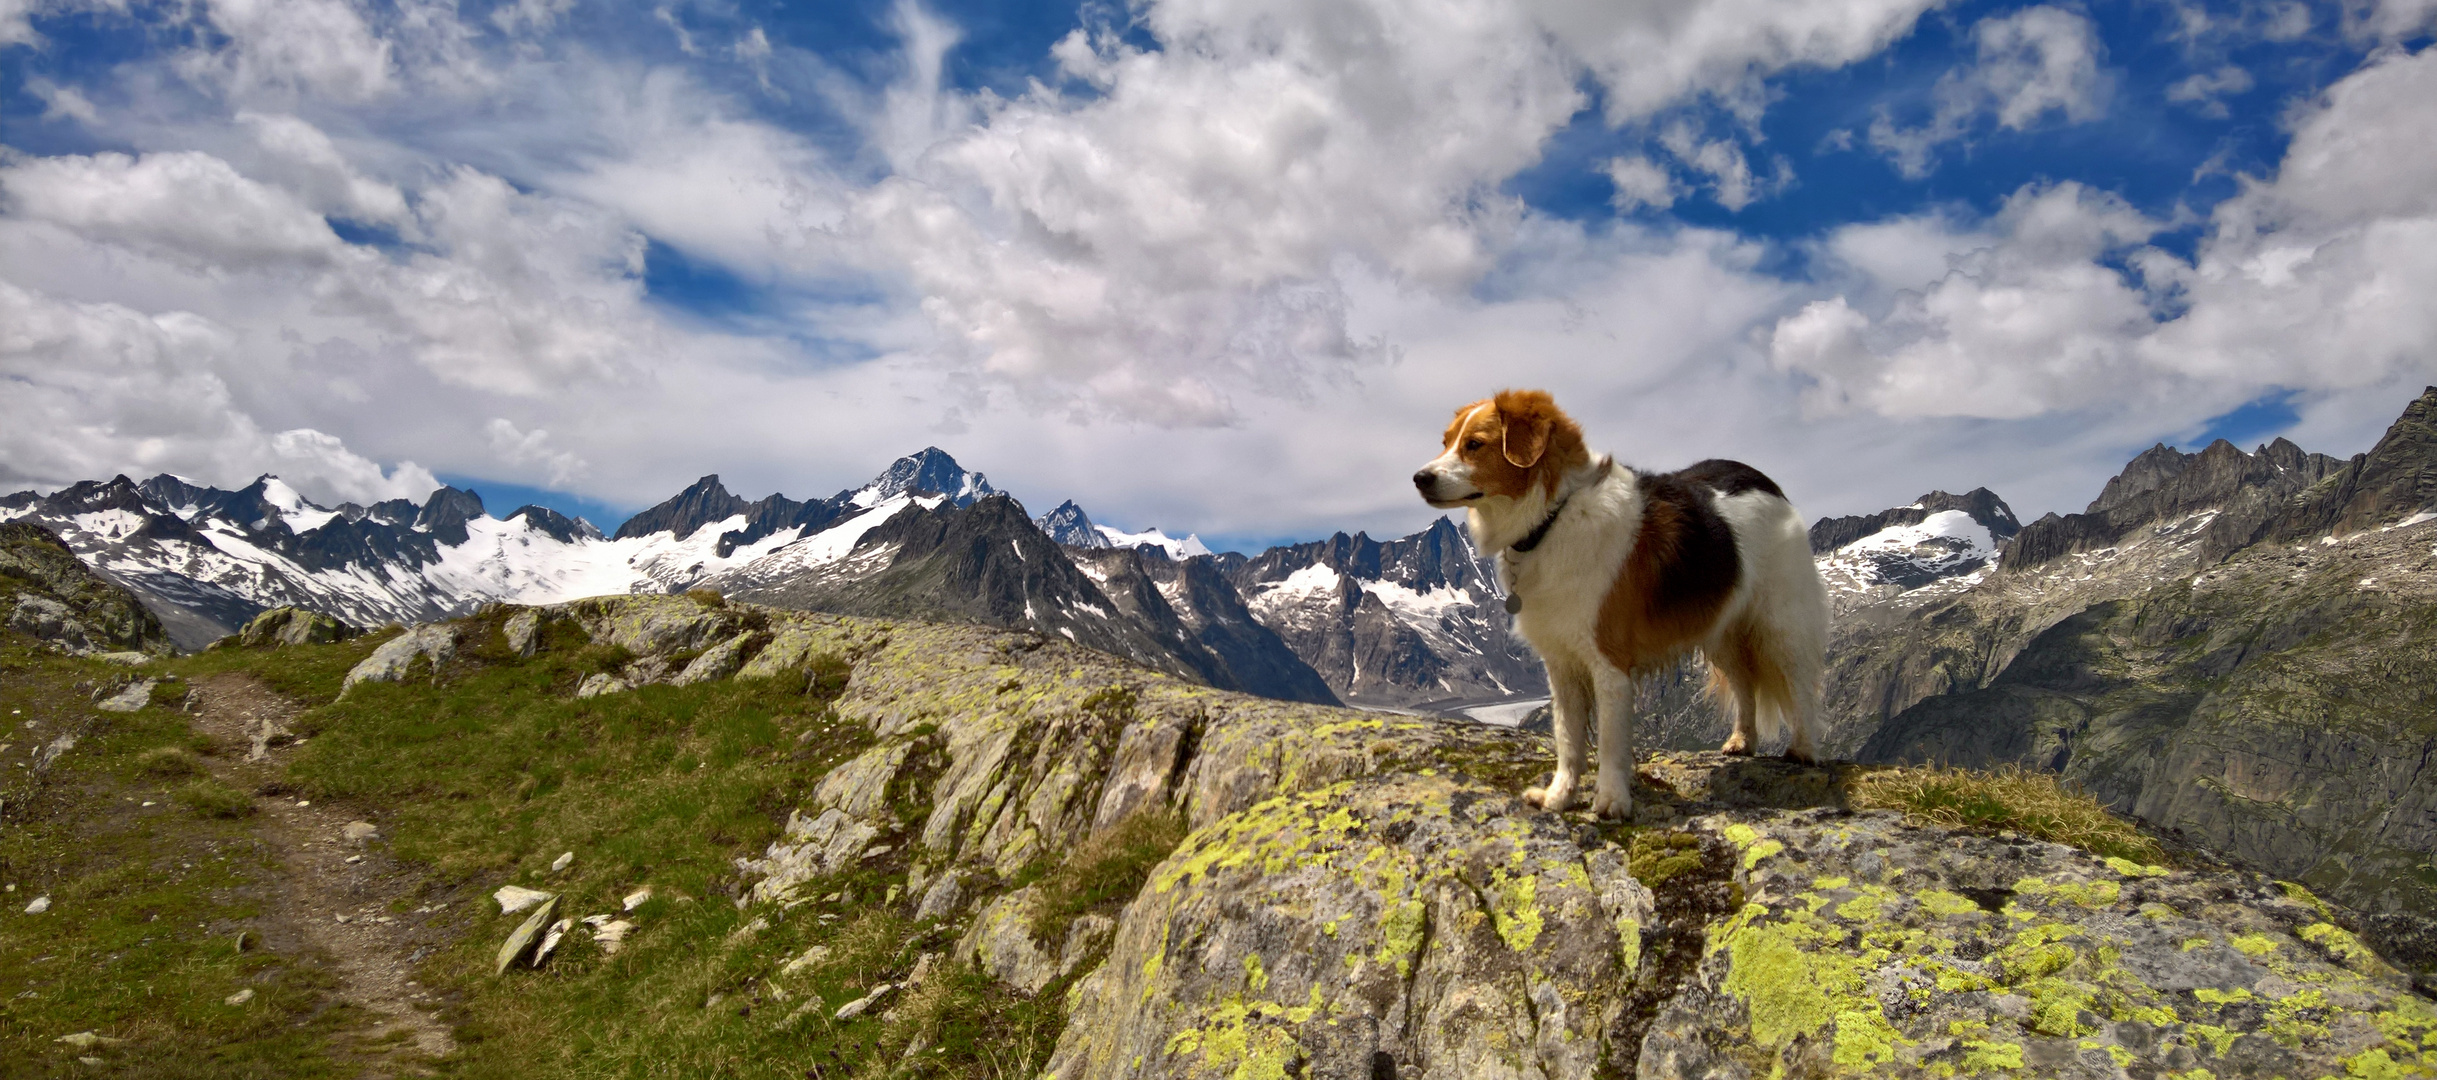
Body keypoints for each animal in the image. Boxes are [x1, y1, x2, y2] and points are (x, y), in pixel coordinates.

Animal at [1413, 390, 1832, 819]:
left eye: (1474, 444)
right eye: (1446, 442)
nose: (1419, 478)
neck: (1554, 516)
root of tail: (1762, 480)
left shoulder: (1609, 665)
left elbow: (1611, 742)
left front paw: (1612, 802)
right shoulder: (1561, 666)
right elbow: (1568, 739)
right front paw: (1558, 797)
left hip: (1781, 624)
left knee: (1799, 685)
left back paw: (1803, 750)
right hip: (1723, 629)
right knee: (1745, 684)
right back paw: (1742, 741)